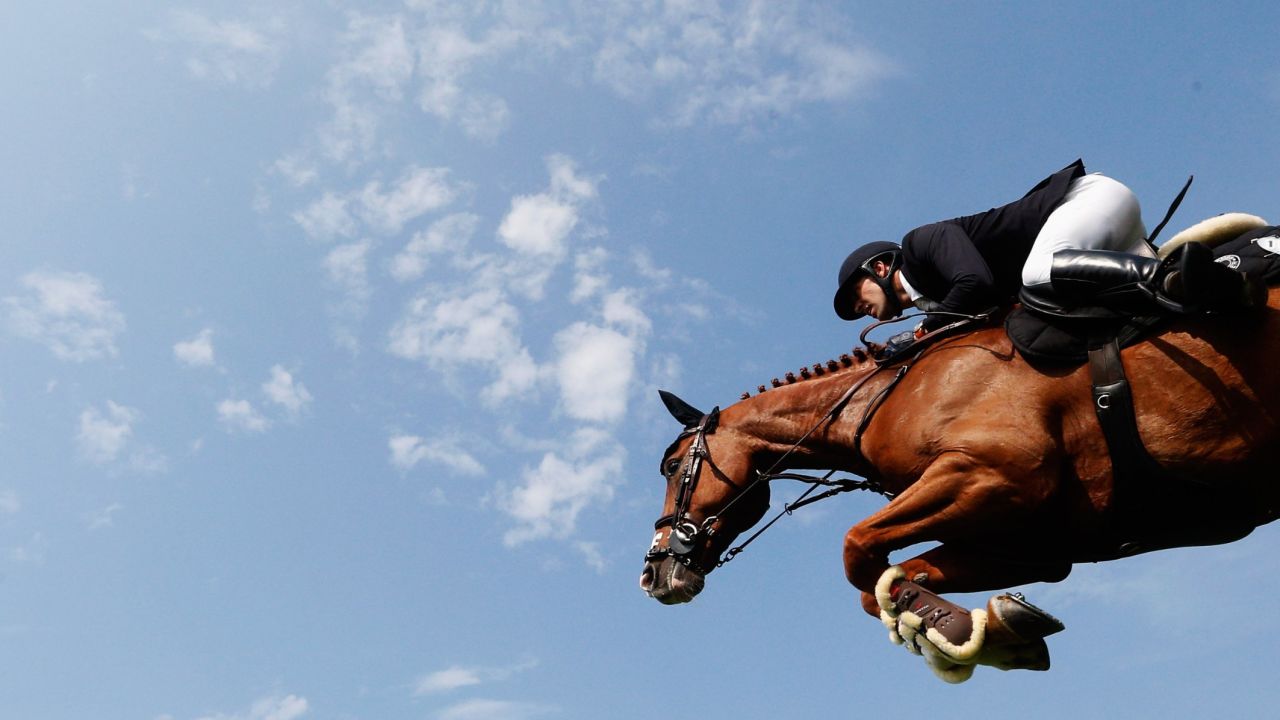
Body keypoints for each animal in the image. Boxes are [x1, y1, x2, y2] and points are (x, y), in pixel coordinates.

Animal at [640, 284, 1280, 676]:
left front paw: (950, 626)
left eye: (672, 467)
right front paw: (990, 629)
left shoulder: (993, 474)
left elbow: (856, 551)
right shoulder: (1028, 546)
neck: (877, 398)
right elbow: (882, 586)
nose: (653, 574)